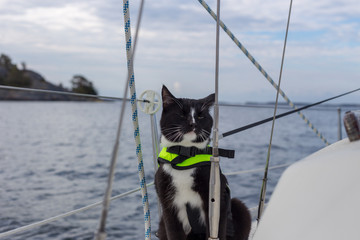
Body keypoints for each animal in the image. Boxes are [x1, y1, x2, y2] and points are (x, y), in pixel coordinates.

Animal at [154, 85, 250, 239]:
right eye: (181, 114)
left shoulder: (217, 203)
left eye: (200, 116)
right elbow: (174, 232)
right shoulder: (168, 206)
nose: (193, 123)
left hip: (237, 207)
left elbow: (217, 230)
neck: (185, 156)